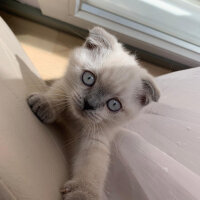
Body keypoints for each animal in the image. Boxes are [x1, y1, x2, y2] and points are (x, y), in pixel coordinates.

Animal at [27, 27, 160, 200]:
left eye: (114, 105)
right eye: (89, 78)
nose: (88, 104)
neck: (74, 121)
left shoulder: (97, 138)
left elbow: (92, 166)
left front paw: (83, 193)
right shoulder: (67, 87)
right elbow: (59, 94)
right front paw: (45, 104)